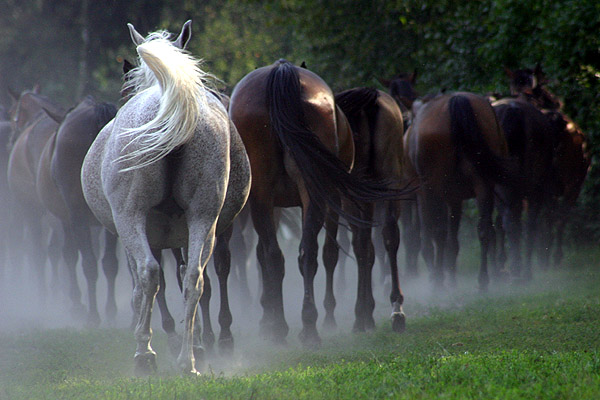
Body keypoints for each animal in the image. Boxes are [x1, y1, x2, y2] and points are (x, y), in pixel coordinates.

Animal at [227, 59, 406, 346]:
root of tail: (282, 71)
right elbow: (343, 250)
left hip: (279, 195)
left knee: (287, 254)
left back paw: (292, 327)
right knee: (374, 240)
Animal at [406, 92, 516, 290]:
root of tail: (456, 100)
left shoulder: (426, 193)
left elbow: (430, 235)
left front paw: (438, 275)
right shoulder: (454, 198)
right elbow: (452, 240)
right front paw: (451, 276)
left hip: (435, 186)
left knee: (438, 232)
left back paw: (439, 280)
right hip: (483, 185)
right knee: (485, 229)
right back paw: (484, 280)